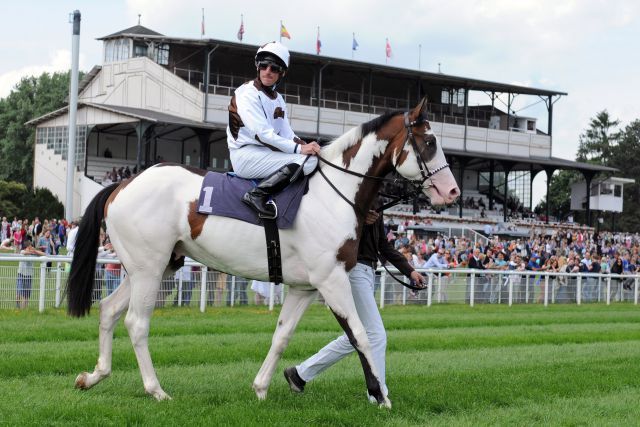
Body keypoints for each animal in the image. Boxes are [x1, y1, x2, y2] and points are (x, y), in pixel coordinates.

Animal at [66, 97, 460, 408]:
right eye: (429, 141)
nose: (453, 191)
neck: (334, 192)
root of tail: (123, 183)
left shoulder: (305, 287)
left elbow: (282, 336)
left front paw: (261, 387)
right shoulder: (332, 280)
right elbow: (359, 334)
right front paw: (380, 395)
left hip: (152, 267)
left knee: (109, 309)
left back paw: (94, 375)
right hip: (149, 269)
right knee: (136, 322)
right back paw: (155, 389)